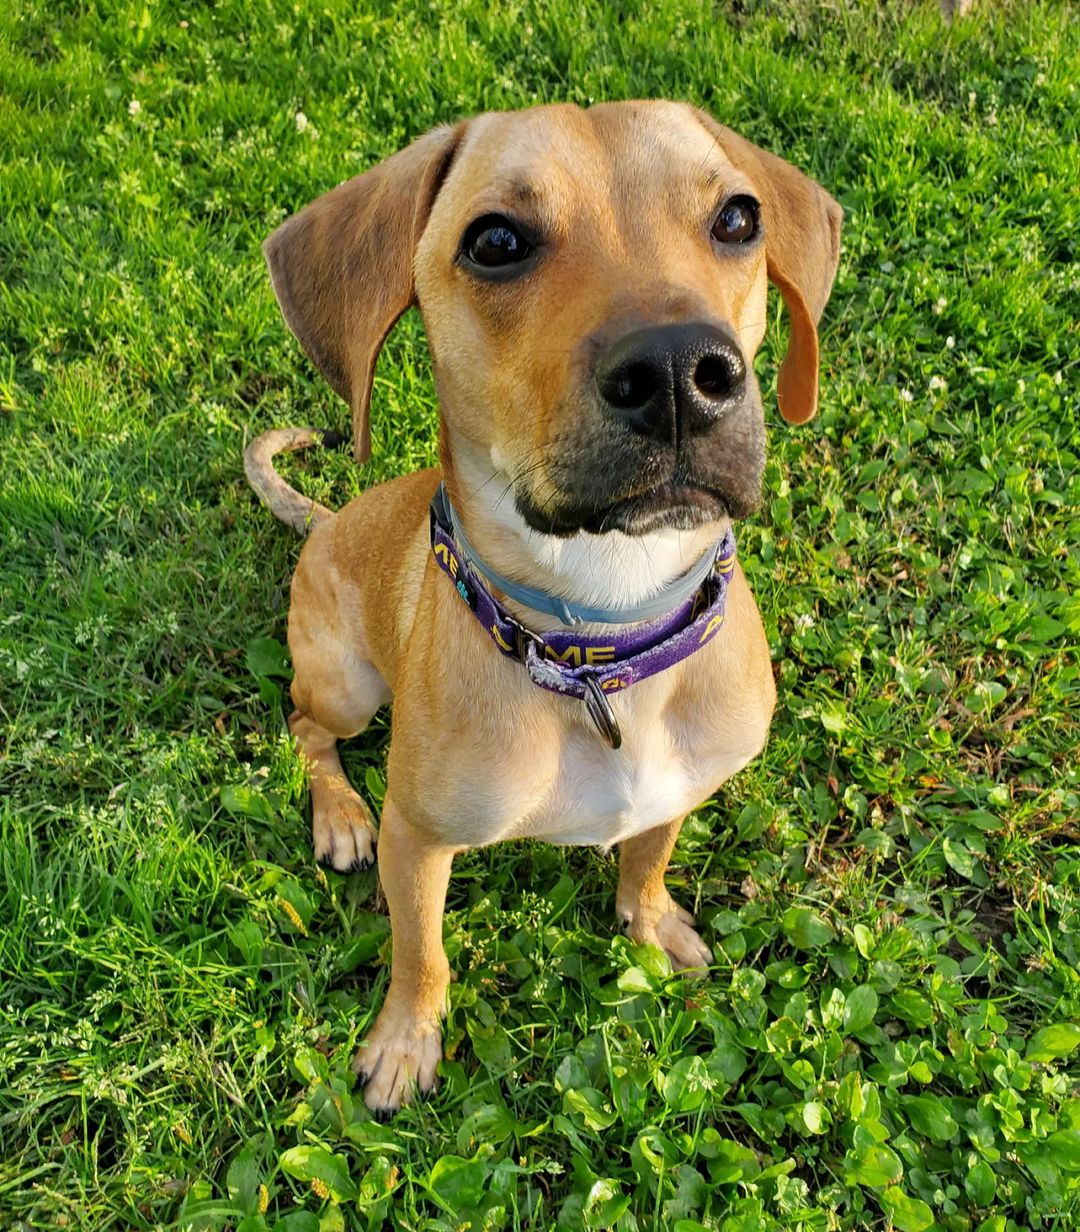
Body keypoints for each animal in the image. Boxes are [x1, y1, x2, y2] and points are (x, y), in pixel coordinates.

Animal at [246, 101, 842, 1113]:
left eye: (737, 218)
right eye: (496, 241)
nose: (679, 371)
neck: (603, 638)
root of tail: (330, 519)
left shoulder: (677, 788)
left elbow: (647, 857)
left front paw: (652, 921)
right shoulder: (419, 839)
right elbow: (422, 954)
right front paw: (404, 1043)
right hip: (347, 688)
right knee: (304, 726)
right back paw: (338, 814)